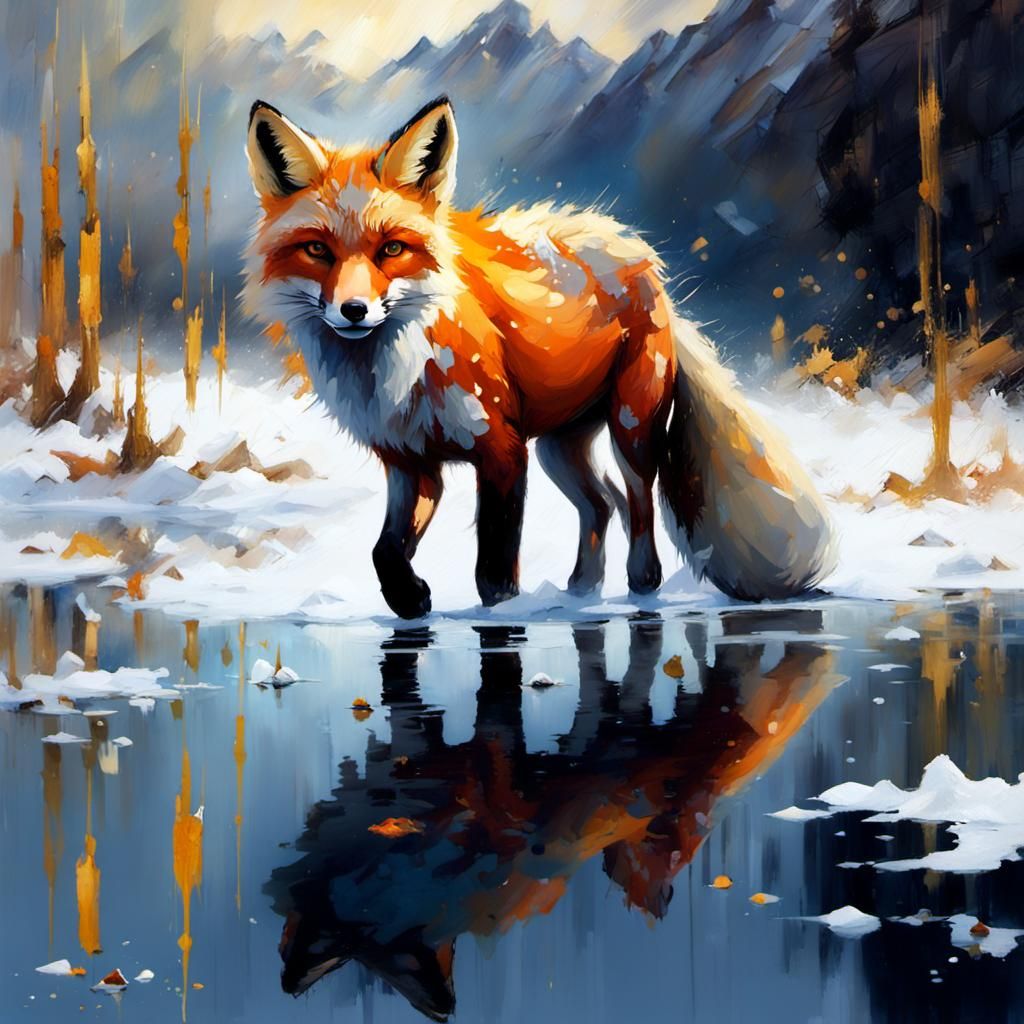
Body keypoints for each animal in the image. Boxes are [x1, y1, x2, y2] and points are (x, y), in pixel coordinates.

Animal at [242, 95, 836, 619]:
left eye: (391, 248)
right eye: (317, 250)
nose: (354, 310)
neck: (396, 372)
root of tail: (638, 251)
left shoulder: (502, 451)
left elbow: (494, 568)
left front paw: (501, 619)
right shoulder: (411, 463)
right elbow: (384, 553)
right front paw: (411, 600)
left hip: (630, 429)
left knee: (639, 505)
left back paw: (641, 588)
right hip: (559, 447)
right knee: (600, 505)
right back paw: (581, 591)